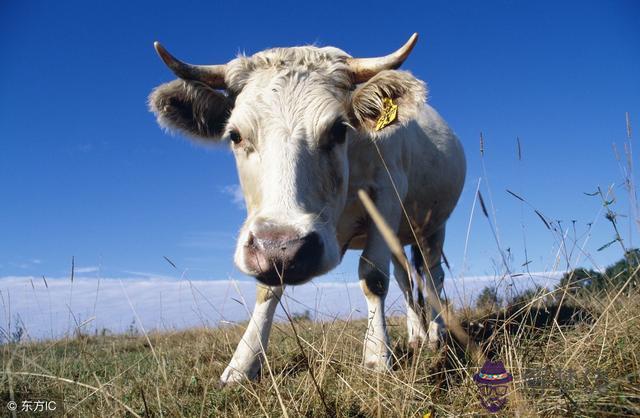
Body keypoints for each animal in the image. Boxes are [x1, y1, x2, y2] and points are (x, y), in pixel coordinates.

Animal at [149, 33, 464, 386]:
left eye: (339, 129)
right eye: (235, 135)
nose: (284, 249)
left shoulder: (386, 196)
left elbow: (373, 277)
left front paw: (376, 356)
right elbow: (267, 289)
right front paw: (242, 364)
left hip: (432, 227)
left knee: (433, 276)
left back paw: (436, 334)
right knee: (407, 279)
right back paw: (416, 335)